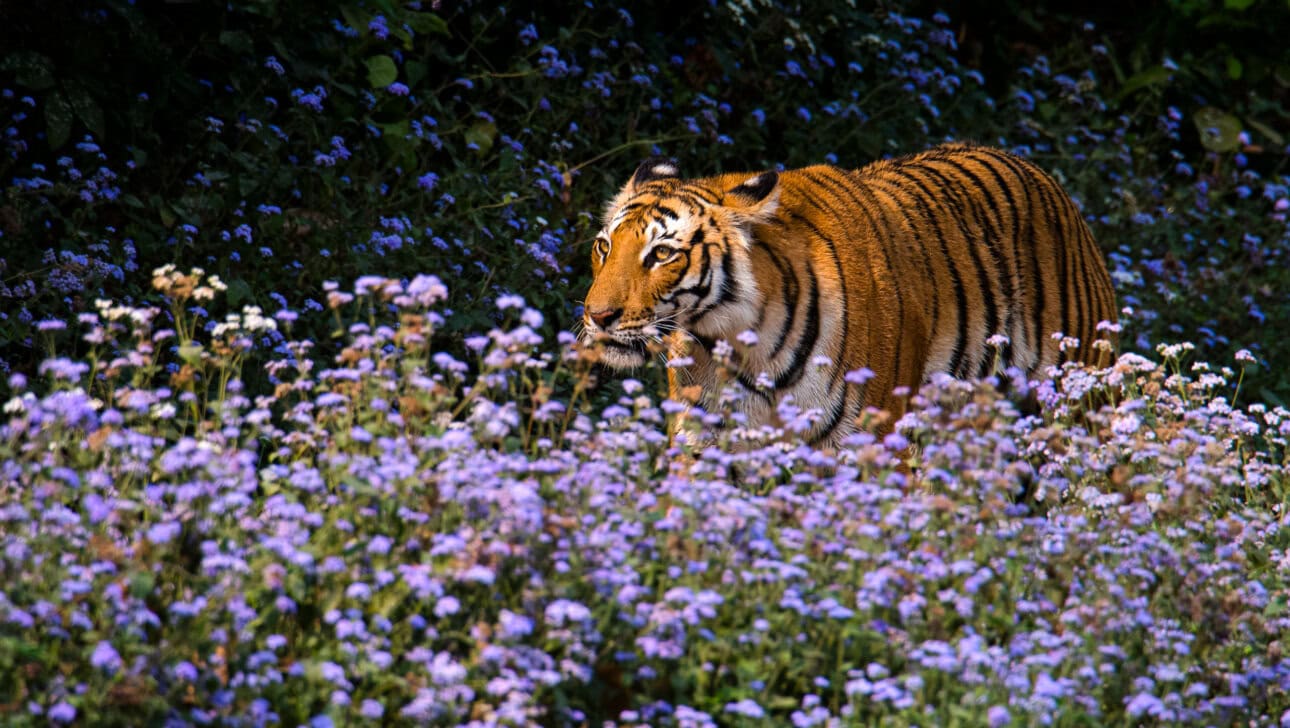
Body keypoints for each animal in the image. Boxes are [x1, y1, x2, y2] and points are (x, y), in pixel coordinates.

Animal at [580, 142, 1118, 448]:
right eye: (604, 247)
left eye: (661, 254)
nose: (597, 316)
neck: (738, 340)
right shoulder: (703, 435)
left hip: (1084, 399)